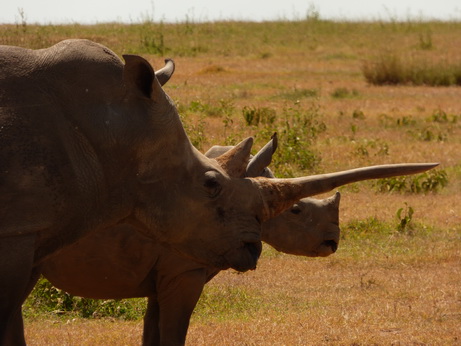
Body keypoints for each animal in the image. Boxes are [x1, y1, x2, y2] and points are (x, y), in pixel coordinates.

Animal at [1, 39, 436, 344]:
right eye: (296, 212)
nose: (333, 242)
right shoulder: (183, 268)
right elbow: (172, 334)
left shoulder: (170, 270)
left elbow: (154, 332)